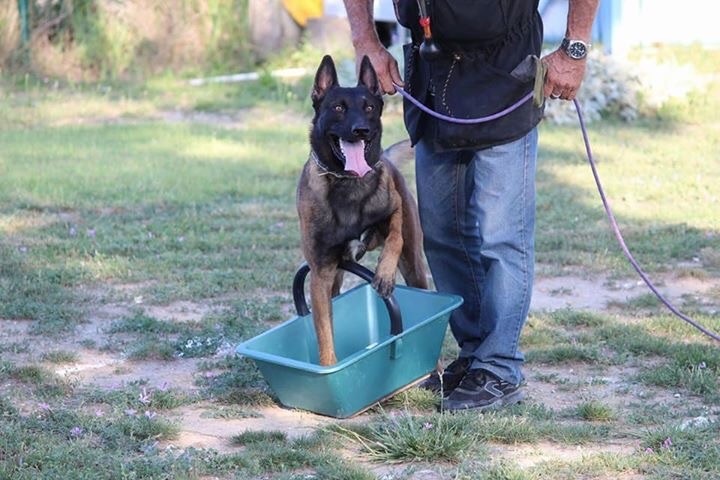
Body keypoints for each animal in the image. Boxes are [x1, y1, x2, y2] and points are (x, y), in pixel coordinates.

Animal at [296, 55, 430, 364]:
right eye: (338, 108)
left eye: (369, 107)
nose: (361, 130)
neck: (348, 182)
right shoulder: (321, 275)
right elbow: (325, 337)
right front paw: (329, 369)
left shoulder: (394, 210)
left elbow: (394, 237)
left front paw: (384, 273)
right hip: (335, 280)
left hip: (414, 266)